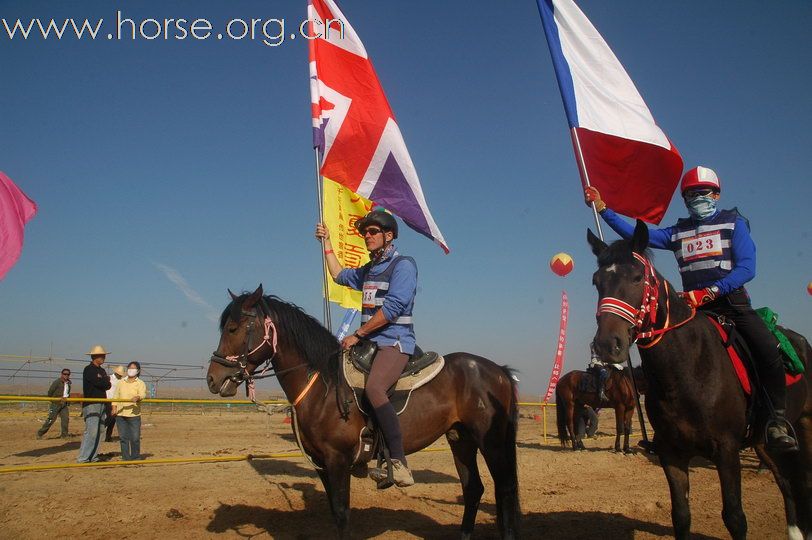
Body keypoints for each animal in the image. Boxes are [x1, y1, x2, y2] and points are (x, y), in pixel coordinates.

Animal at [208, 284, 520, 536]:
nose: (213, 379)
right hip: (461, 439)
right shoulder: (322, 462)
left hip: (491, 442)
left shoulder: (338, 460)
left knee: (504, 490)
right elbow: (334, 511)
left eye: (233, 328)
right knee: (473, 488)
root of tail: (498, 371)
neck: (323, 385)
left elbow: (342, 515)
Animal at [588, 221, 808, 536]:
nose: (608, 345)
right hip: (763, 443)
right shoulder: (672, 454)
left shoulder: (727, 451)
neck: (688, 371)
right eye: (596, 281)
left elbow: (735, 518)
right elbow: (680, 515)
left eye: (637, 277)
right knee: (786, 482)